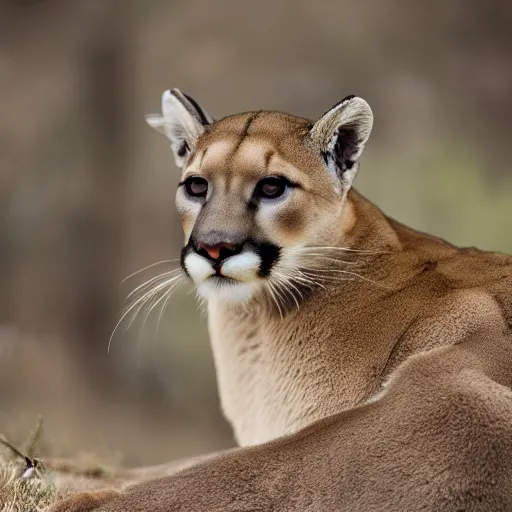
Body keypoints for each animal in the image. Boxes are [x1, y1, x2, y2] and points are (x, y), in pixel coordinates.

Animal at [49, 90, 512, 510]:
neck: (255, 319)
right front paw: (50, 467)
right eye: (196, 186)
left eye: (272, 187)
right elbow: (185, 461)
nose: (214, 248)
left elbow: (240, 469)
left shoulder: (449, 394)